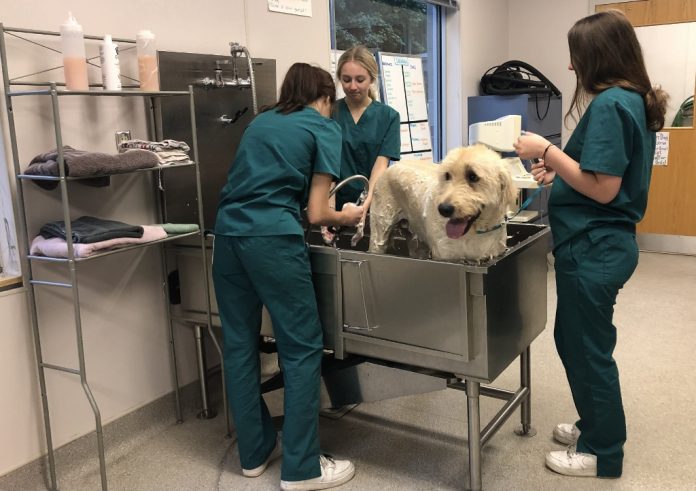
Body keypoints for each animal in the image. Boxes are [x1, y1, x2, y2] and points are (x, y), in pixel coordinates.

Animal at [370, 144, 516, 264]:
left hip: (418, 244)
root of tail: (390, 167)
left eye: (473, 176)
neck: (475, 233)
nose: (444, 209)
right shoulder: (444, 257)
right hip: (379, 236)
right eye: (447, 175)